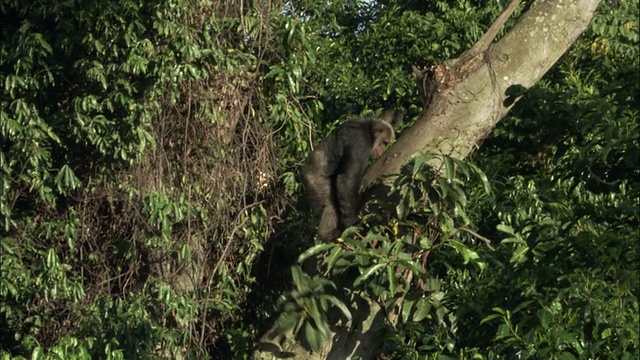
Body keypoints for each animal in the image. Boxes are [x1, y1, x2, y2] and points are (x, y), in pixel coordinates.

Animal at [302, 111, 400, 240]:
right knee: (330, 202)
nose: (383, 147)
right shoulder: (360, 141)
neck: (369, 129)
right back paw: (327, 234)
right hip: (313, 180)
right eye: (384, 142)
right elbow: (348, 178)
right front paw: (351, 221)